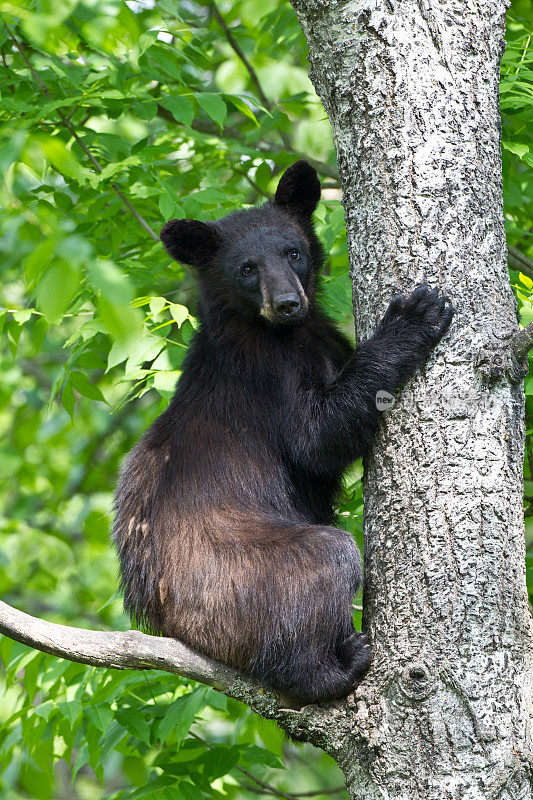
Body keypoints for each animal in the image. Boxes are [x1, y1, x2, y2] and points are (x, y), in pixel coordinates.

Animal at [113, 161, 454, 700]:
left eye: (293, 251)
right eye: (247, 267)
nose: (289, 303)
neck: (277, 331)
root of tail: (171, 624)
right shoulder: (267, 374)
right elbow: (316, 437)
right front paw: (412, 317)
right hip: (246, 581)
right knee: (328, 560)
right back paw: (335, 666)